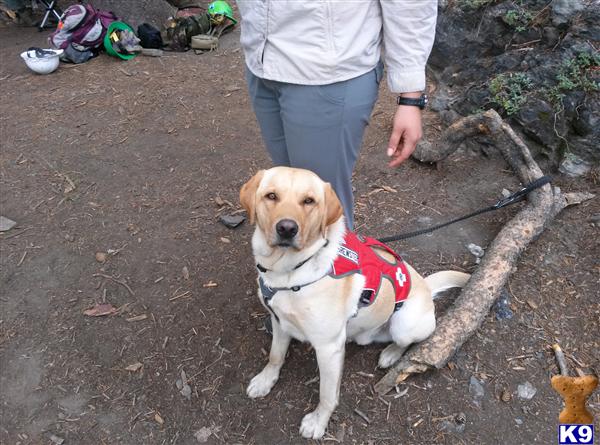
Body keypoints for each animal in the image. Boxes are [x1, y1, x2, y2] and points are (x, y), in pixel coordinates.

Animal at [239, 166, 468, 438]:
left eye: (309, 201)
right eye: (271, 196)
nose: (286, 228)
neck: (289, 271)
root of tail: (425, 285)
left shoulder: (328, 347)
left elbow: (327, 394)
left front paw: (318, 422)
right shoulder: (279, 321)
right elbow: (275, 356)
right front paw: (265, 381)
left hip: (404, 324)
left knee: (407, 342)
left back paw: (391, 354)